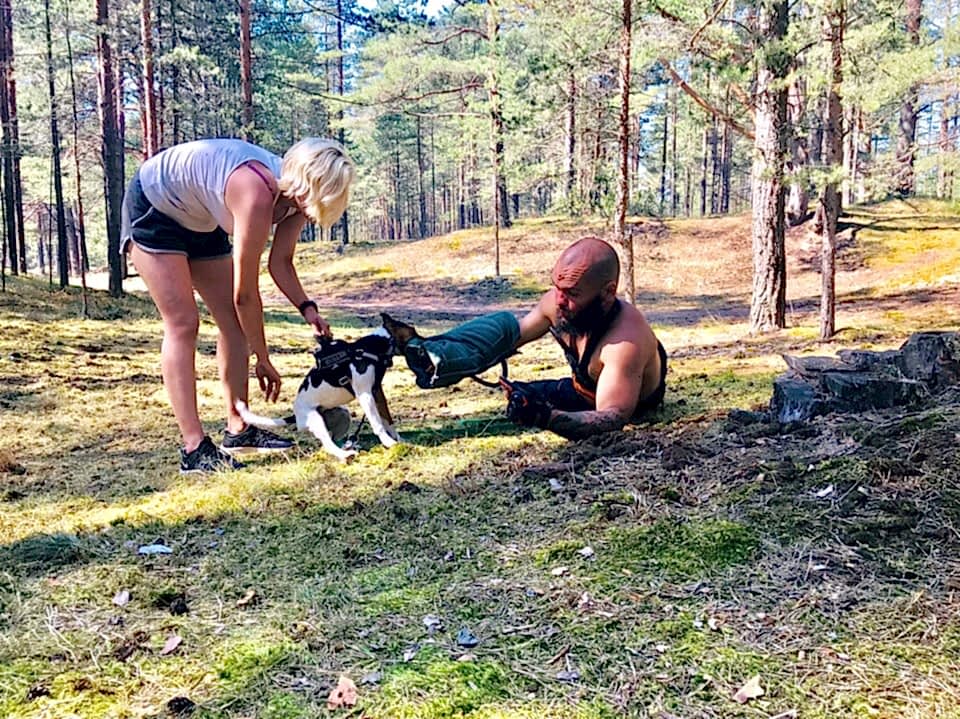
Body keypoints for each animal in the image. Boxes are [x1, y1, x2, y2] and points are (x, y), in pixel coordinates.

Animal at [236, 320, 402, 462]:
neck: (367, 349)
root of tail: (296, 415)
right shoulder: (365, 395)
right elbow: (377, 422)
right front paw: (388, 442)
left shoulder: (376, 392)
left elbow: (386, 419)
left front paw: (397, 438)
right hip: (316, 420)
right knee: (328, 444)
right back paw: (346, 454)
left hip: (343, 414)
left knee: (330, 442)